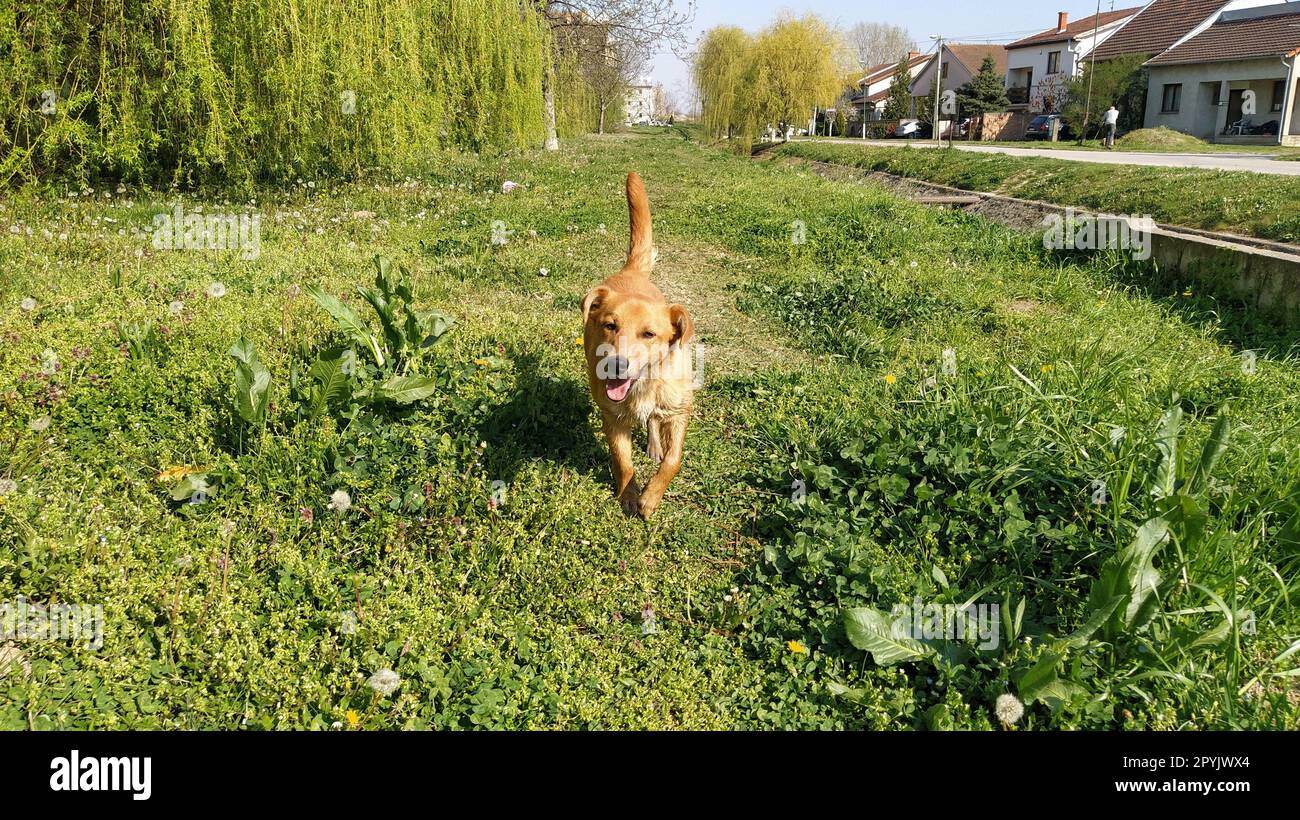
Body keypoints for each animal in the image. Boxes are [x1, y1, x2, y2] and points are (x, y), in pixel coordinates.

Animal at [585, 172, 696, 519]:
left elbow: (674, 459)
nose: (616, 364)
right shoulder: (612, 419)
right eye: (610, 325)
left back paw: (654, 444)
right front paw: (630, 495)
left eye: (649, 334)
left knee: (654, 423)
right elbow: (623, 462)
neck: (645, 384)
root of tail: (631, 270)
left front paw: (651, 497)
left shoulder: (680, 410)